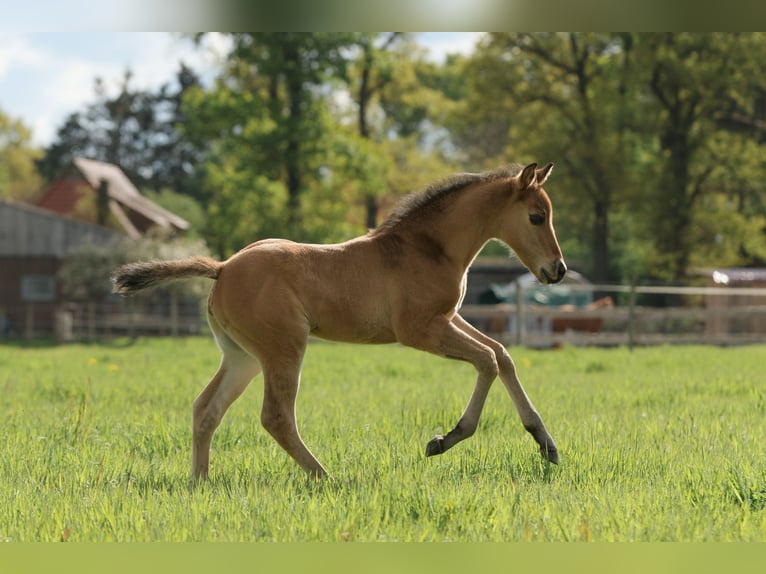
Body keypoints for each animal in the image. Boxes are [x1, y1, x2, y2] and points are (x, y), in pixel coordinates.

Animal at [115, 163, 568, 482]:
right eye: (535, 216)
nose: (558, 270)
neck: (426, 248)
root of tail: (222, 267)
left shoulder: (448, 318)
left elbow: (502, 354)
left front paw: (545, 443)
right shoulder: (419, 329)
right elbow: (487, 361)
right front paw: (444, 440)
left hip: (242, 356)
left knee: (206, 408)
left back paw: (200, 481)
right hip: (284, 349)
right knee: (275, 417)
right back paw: (326, 477)